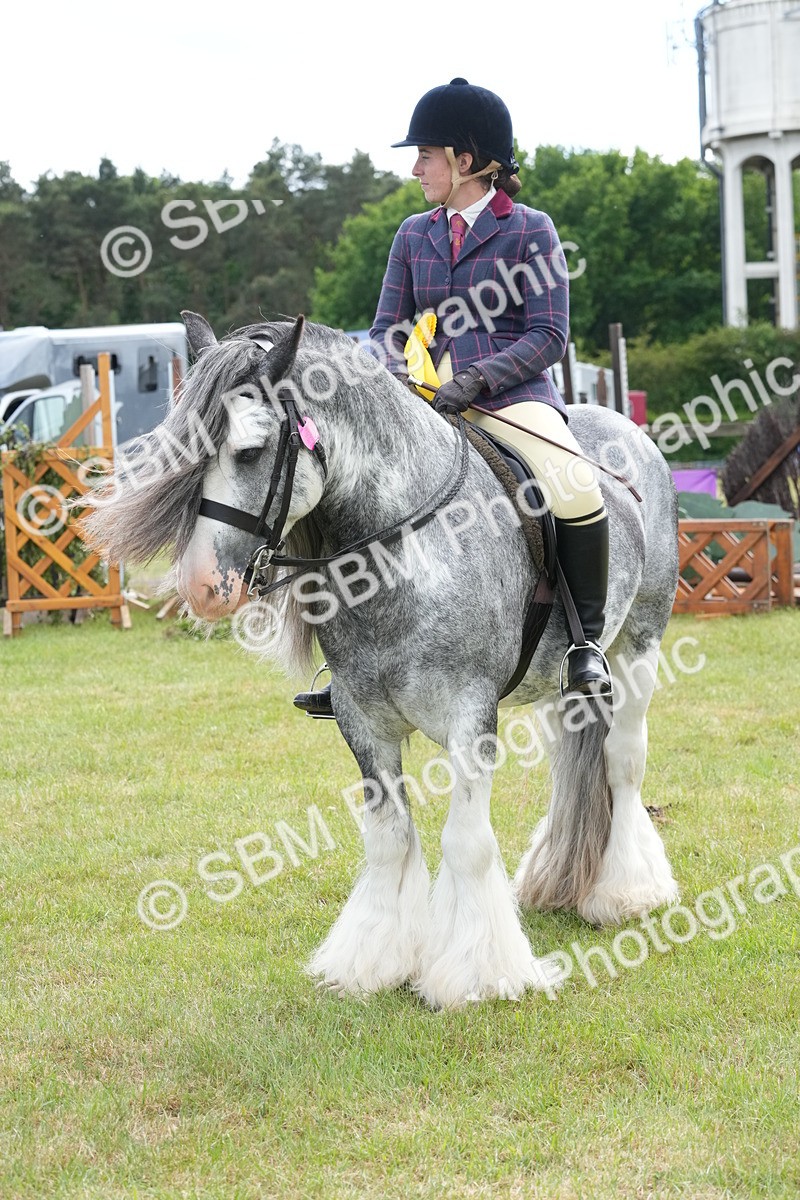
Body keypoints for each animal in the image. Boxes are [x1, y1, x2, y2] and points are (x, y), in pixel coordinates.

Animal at [83, 312, 680, 1009]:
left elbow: (466, 843)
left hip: (639, 643)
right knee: (570, 766)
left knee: (623, 762)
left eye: (251, 452)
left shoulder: (469, 717)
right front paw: (370, 963)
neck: (404, 547)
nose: (204, 587)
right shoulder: (362, 720)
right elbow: (389, 836)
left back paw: (626, 892)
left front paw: (478, 976)